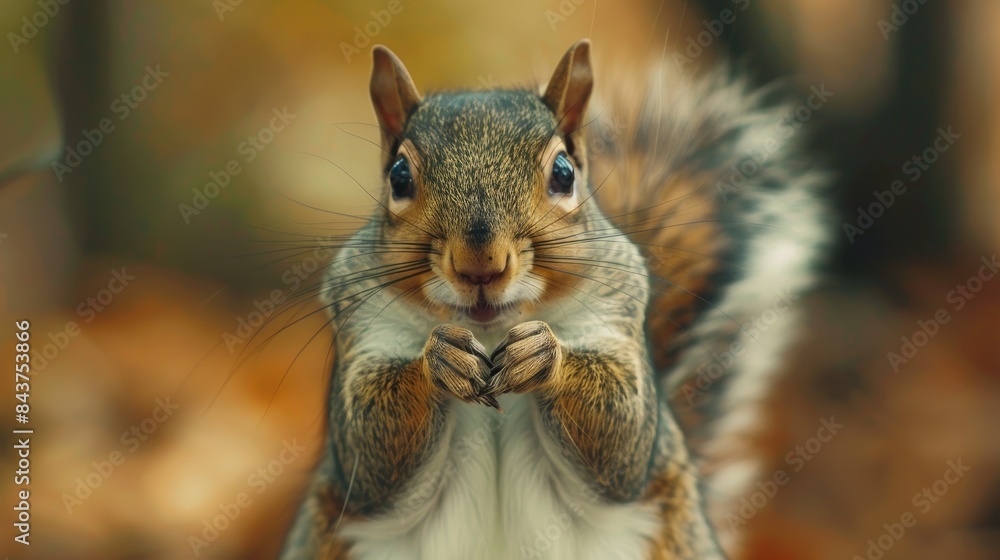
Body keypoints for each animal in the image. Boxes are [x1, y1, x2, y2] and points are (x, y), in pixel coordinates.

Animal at [280, 40, 828, 560]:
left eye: (564, 173)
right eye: (398, 177)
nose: (480, 265)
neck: (489, 329)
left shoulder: (618, 312)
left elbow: (623, 436)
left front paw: (542, 354)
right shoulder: (360, 322)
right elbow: (367, 450)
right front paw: (441, 358)